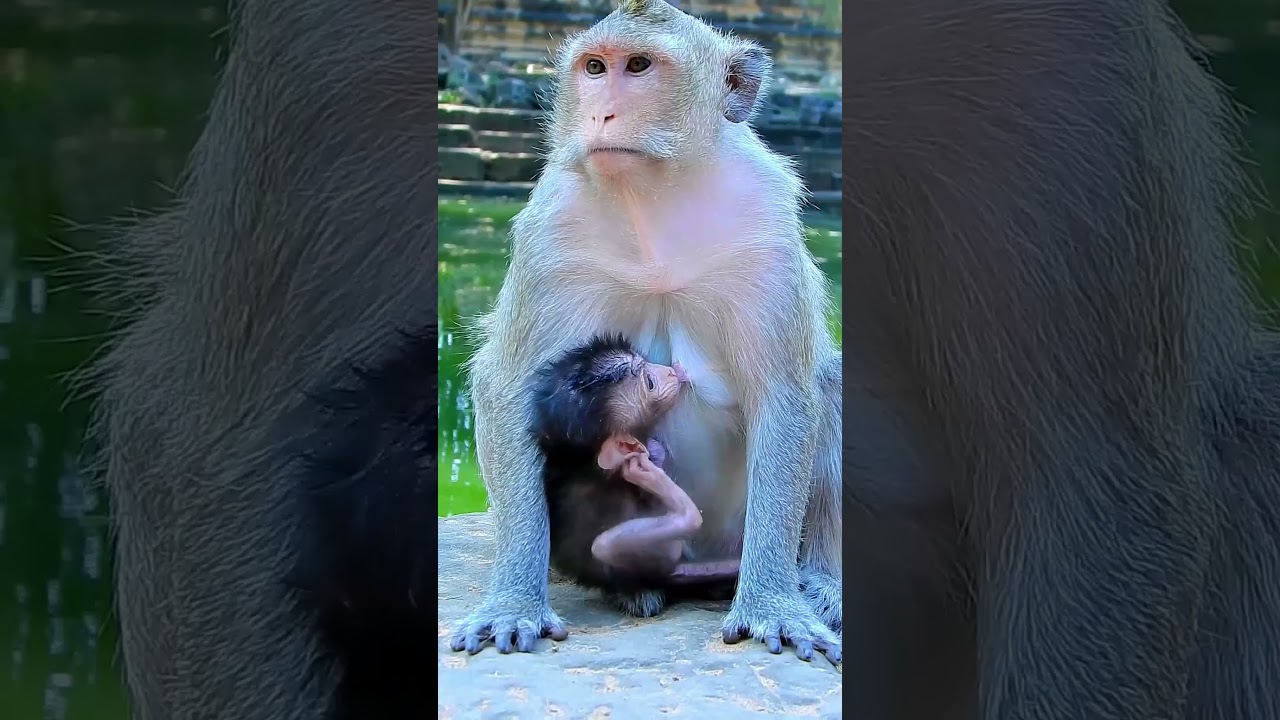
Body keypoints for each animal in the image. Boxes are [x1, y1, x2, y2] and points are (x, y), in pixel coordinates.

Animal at [529, 333, 741, 610]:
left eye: (646, 363)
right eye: (649, 383)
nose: (670, 372)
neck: (584, 463)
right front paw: (647, 467)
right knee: (606, 546)